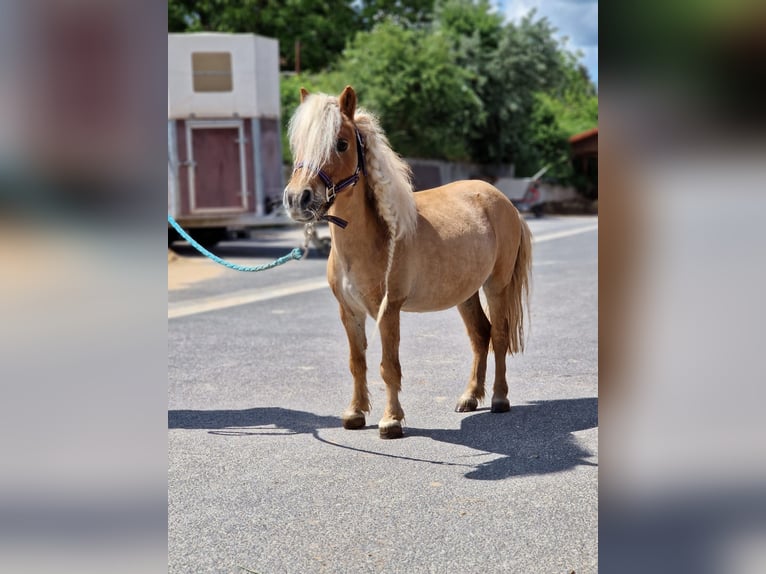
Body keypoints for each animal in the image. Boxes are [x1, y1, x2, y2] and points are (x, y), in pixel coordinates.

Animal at [284, 86, 532, 439]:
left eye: (341, 143)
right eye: (299, 143)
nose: (297, 199)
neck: (375, 236)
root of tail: (504, 201)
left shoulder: (389, 309)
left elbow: (389, 365)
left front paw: (391, 420)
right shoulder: (349, 311)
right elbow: (357, 362)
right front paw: (355, 414)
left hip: (496, 286)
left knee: (498, 335)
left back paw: (499, 399)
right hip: (466, 293)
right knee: (480, 335)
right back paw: (469, 398)